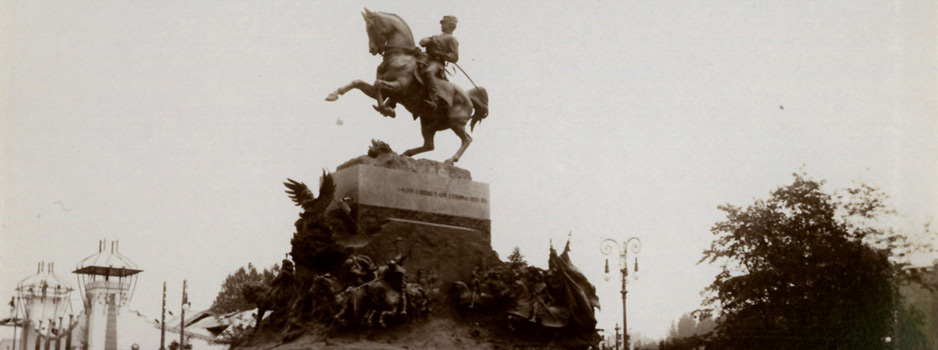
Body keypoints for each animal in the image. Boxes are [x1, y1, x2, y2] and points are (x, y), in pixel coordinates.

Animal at [324, 8, 486, 165]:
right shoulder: (384, 90)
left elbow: (378, 85)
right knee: (429, 145)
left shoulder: (400, 88)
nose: (372, 50)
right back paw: (406, 154)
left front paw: (387, 110)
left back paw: (451, 160)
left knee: (467, 139)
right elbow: (358, 83)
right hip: (427, 122)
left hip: (455, 122)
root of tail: (468, 96)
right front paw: (333, 95)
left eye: (371, 27)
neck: (398, 57)